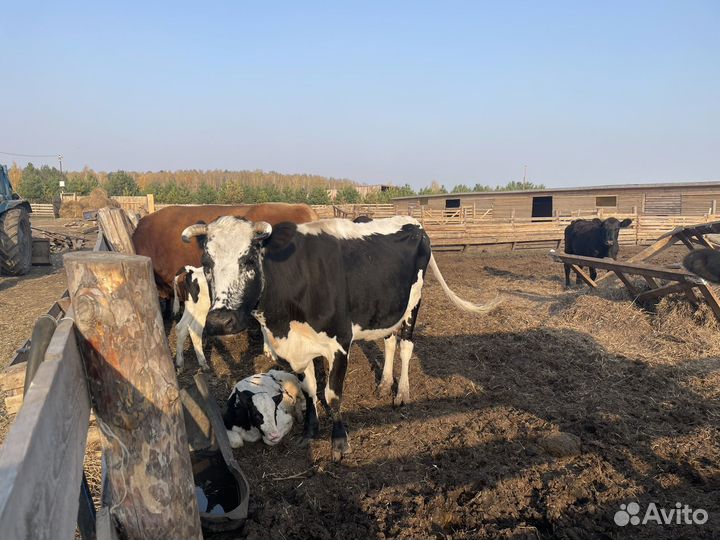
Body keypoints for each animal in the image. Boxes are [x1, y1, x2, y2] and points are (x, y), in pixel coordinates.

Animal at [181, 215, 499, 461]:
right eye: (207, 263)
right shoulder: (298, 351)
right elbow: (310, 390)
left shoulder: (339, 345)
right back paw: (385, 383)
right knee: (389, 342)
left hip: (413, 304)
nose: (220, 320)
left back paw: (401, 392)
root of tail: (414, 223)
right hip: (386, 310)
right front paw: (310, 432)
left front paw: (339, 441)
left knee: (406, 346)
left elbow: (332, 395)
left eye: (248, 259)